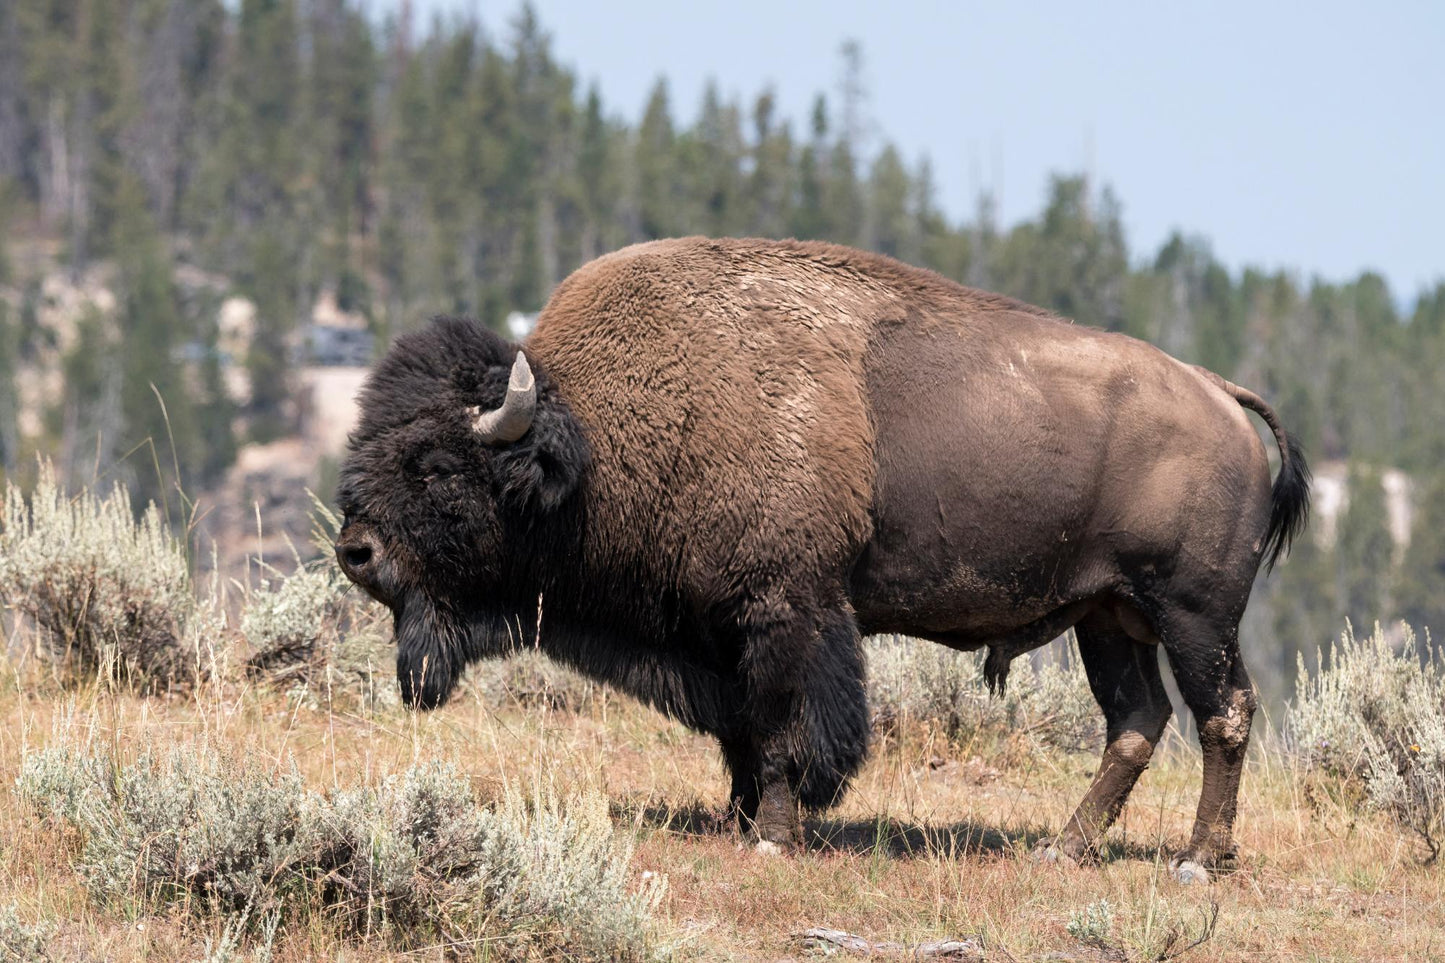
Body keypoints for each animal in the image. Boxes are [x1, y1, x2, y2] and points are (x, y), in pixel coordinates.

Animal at [338, 235, 1312, 879]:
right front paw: (736, 819)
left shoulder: (786, 613)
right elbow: (738, 729)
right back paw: (1061, 847)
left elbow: (780, 728)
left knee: (1222, 713)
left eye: (435, 464)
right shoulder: (717, 633)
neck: (589, 437)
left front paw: (772, 831)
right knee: (1136, 721)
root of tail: (1218, 393)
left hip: (1191, 614)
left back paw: (1198, 860)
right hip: (1108, 618)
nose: (355, 549)